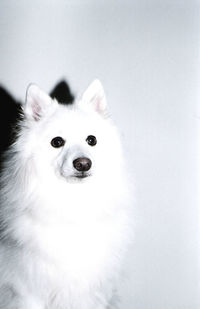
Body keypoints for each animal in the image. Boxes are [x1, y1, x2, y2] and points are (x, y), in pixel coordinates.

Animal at [0, 80, 133, 306]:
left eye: (91, 140)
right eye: (57, 142)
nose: (83, 163)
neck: (72, 202)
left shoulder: (90, 292)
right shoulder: (28, 291)